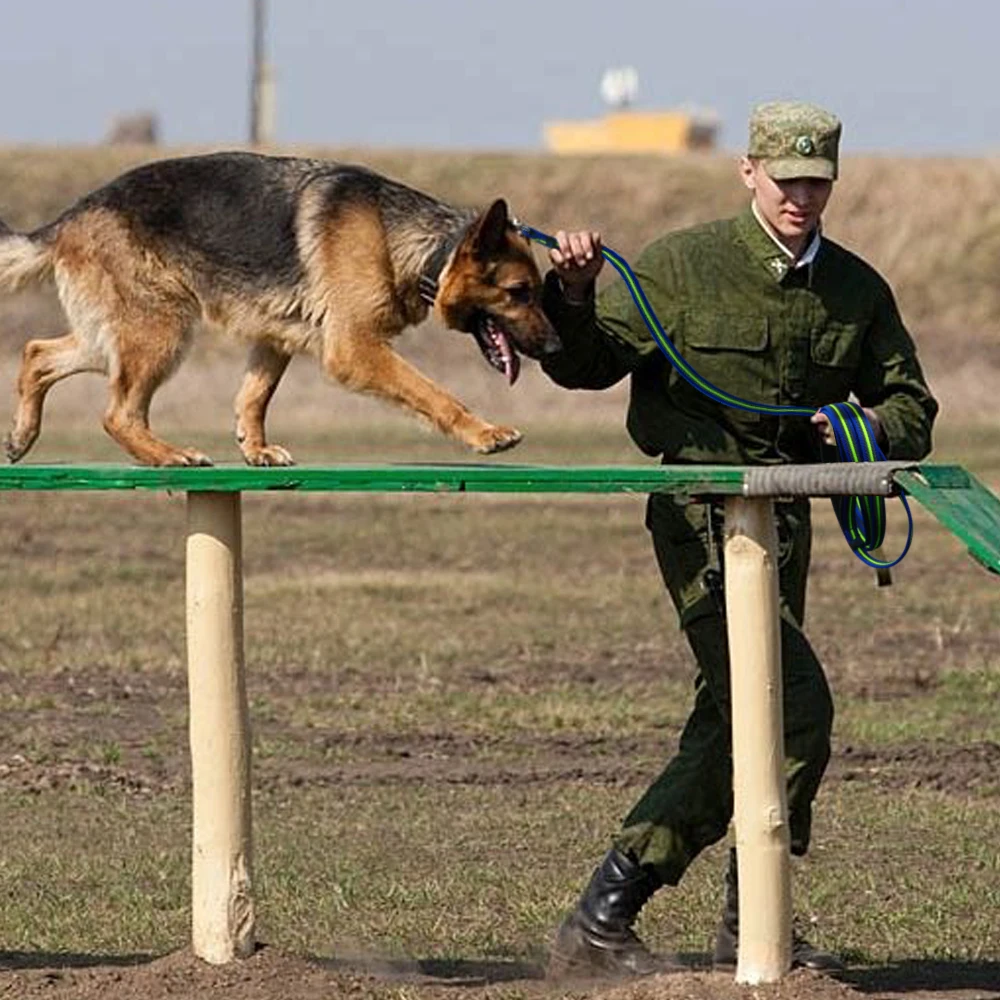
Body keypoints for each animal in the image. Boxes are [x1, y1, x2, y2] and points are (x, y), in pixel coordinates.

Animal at [0, 150, 560, 466]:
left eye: (537, 291)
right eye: (519, 292)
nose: (555, 346)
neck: (423, 249)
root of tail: (70, 216)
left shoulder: (276, 338)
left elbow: (254, 397)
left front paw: (255, 448)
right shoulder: (355, 348)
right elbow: (434, 393)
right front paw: (484, 433)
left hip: (117, 336)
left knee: (37, 352)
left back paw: (22, 436)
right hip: (160, 331)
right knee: (117, 413)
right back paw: (169, 455)